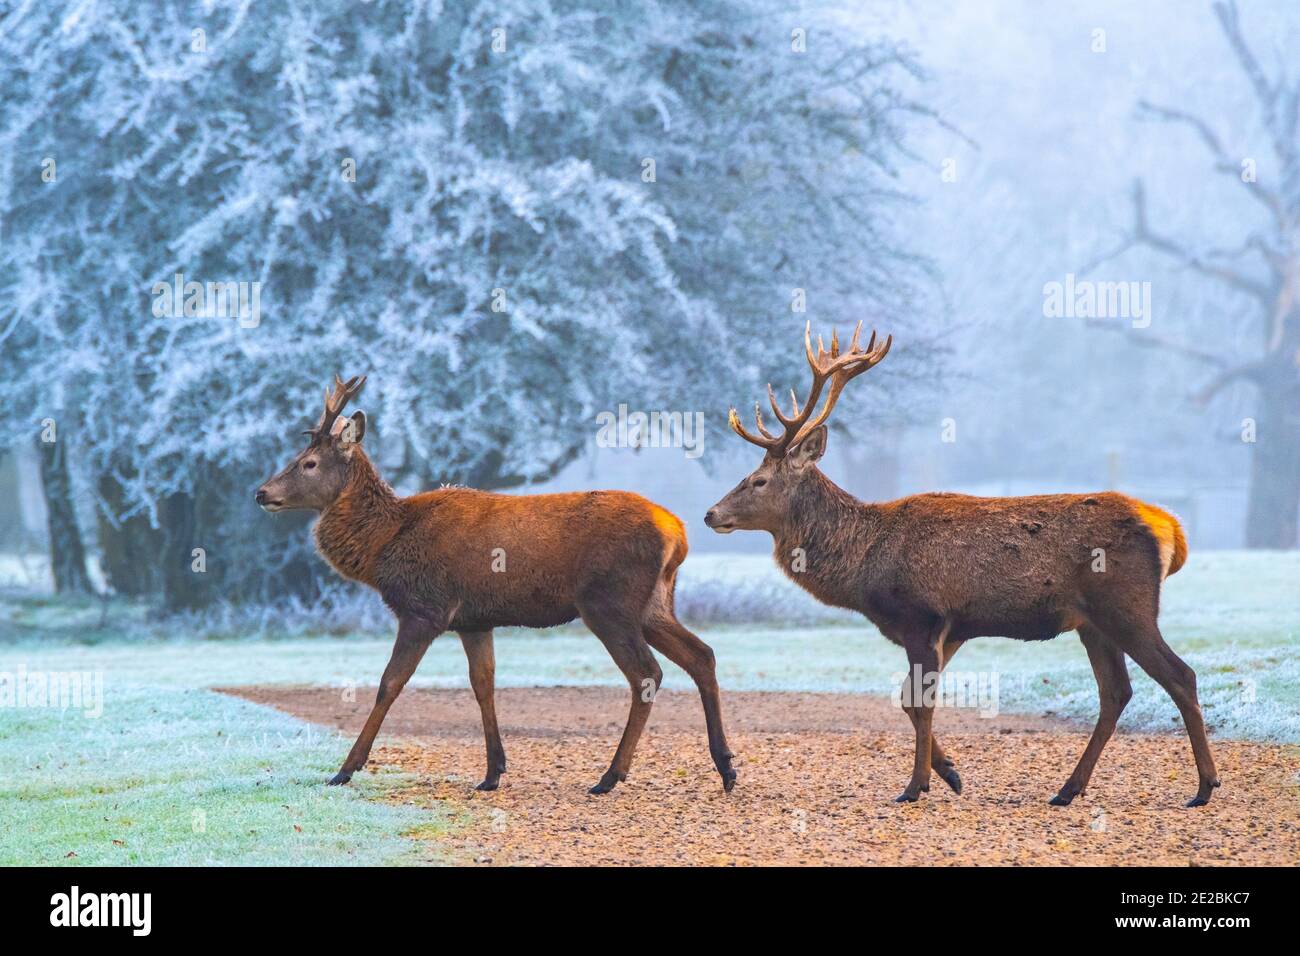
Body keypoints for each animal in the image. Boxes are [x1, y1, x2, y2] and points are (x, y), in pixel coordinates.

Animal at [256, 375, 736, 795]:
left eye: (308, 463)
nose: (261, 492)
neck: (382, 545)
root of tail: (678, 532)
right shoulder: (474, 620)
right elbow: (483, 684)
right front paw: (492, 773)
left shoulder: (425, 608)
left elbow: (390, 683)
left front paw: (345, 770)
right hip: (655, 603)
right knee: (702, 655)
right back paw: (726, 767)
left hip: (608, 602)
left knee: (647, 673)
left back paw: (610, 776)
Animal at [705, 323, 1220, 807]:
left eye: (758, 480)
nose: (711, 513)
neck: (865, 565)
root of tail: (1170, 527)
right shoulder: (951, 629)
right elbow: (908, 700)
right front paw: (950, 774)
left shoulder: (922, 615)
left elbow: (920, 702)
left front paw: (915, 786)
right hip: (1092, 622)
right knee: (1116, 692)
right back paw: (1068, 789)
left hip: (1127, 606)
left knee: (1181, 676)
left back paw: (1204, 786)